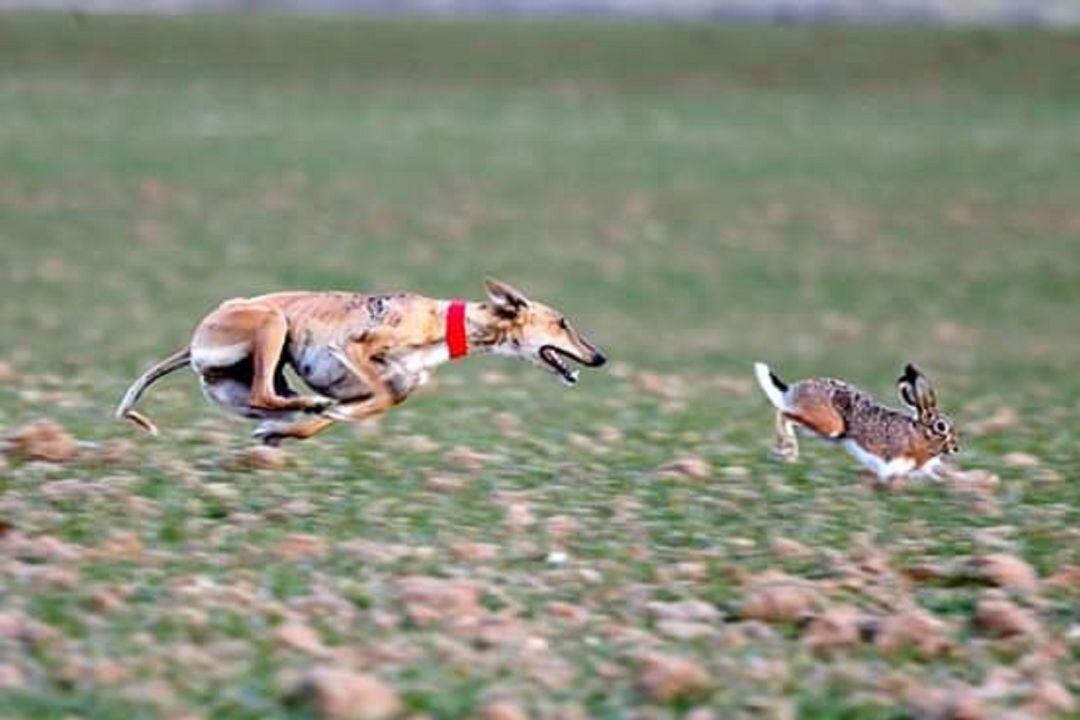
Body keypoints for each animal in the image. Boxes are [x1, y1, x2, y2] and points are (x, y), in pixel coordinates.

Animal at [121, 280, 609, 444]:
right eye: (563, 322)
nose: (599, 357)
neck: (439, 322)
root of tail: (194, 341)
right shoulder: (351, 350)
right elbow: (368, 398)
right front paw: (315, 415)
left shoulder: (372, 390)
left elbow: (353, 410)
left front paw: (284, 434)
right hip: (270, 321)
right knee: (267, 391)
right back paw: (304, 404)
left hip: (241, 384)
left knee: (271, 398)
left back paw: (291, 414)